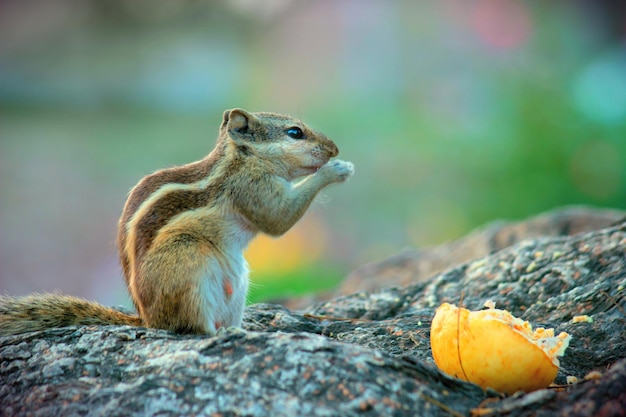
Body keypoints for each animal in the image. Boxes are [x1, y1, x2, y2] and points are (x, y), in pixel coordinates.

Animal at [0, 109, 354, 336]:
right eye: (295, 132)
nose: (335, 148)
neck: (242, 158)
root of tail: (148, 320)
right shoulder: (252, 187)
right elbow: (277, 219)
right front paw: (336, 170)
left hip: (237, 283)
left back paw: (246, 328)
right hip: (188, 261)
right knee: (192, 327)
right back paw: (222, 334)